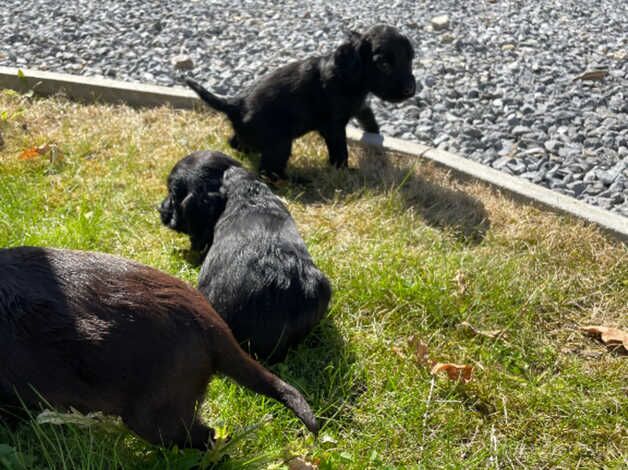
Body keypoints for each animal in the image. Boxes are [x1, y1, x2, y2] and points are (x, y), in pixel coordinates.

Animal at [186, 25, 418, 180]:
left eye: (410, 59)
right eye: (384, 64)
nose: (410, 89)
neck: (348, 75)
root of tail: (235, 104)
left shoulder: (360, 105)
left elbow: (369, 118)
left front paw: (378, 142)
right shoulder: (333, 126)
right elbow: (340, 150)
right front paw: (344, 170)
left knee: (236, 143)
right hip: (280, 143)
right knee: (268, 172)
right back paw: (299, 180)